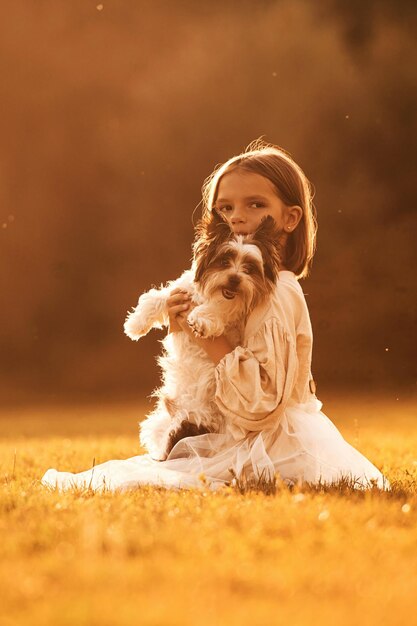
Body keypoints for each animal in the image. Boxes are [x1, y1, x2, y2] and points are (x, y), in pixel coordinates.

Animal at [122, 214, 282, 458]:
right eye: (224, 262)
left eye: (249, 268)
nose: (234, 279)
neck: (215, 295)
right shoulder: (180, 294)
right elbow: (157, 298)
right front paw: (135, 324)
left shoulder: (230, 318)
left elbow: (216, 312)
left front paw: (201, 319)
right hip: (158, 423)